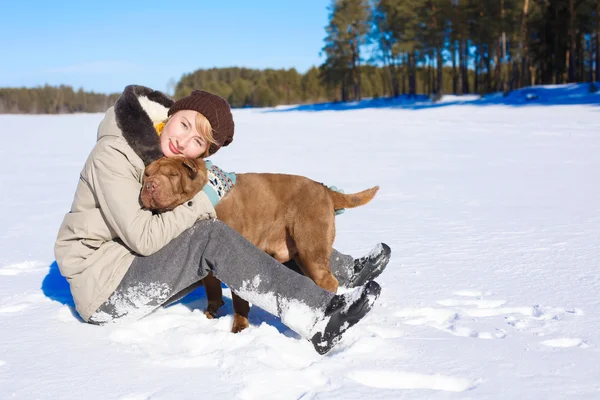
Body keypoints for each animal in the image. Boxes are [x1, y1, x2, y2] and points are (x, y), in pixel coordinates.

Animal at [139, 158, 380, 332]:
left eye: (172, 175)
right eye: (148, 174)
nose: (150, 185)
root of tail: (326, 190)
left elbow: (239, 299)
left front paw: (239, 327)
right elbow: (212, 288)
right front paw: (210, 314)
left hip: (310, 246)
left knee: (328, 281)